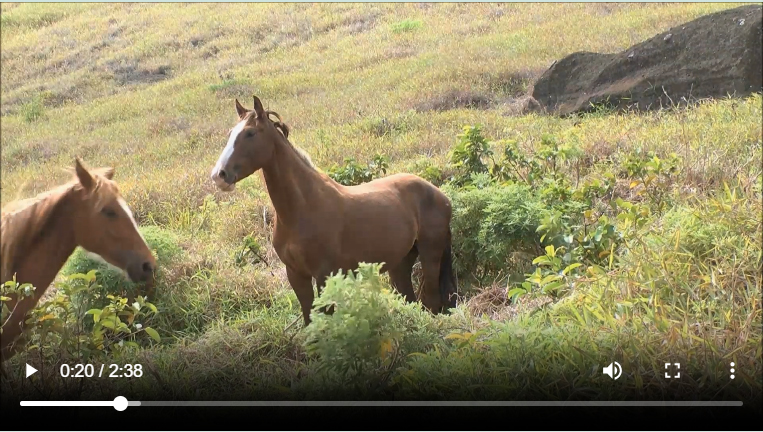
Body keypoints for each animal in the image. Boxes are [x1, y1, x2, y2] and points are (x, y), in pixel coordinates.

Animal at [212, 96, 456, 326]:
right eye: (230, 133)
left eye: (250, 133)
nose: (219, 175)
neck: (301, 210)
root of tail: (440, 195)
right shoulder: (296, 275)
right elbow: (310, 321)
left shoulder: (325, 275)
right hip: (400, 263)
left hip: (430, 255)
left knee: (431, 302)